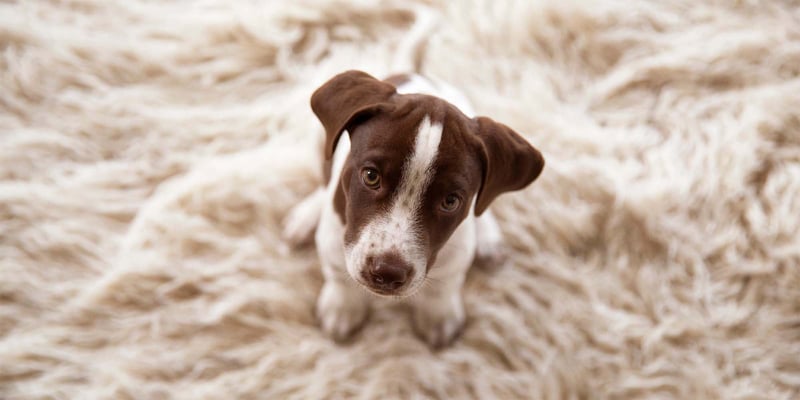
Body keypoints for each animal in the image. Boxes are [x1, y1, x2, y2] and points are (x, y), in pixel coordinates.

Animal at [282, 69, 544, 346]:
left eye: (450, 201)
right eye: (371, 176)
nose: (387, 273)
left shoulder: (456, 251)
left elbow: (444, 284)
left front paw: (438, 315)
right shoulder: (336, 238)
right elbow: (338, 274)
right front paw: (342, 308)